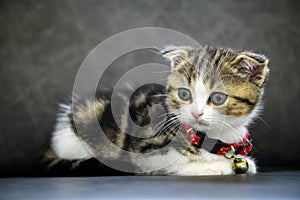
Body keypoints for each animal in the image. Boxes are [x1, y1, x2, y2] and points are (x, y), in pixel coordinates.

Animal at [47, 45, 270, 175]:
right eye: (184, 94)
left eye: (217, 98)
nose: (196, 113)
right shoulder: (144, 150)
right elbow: (174, 163)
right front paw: (214, 166)